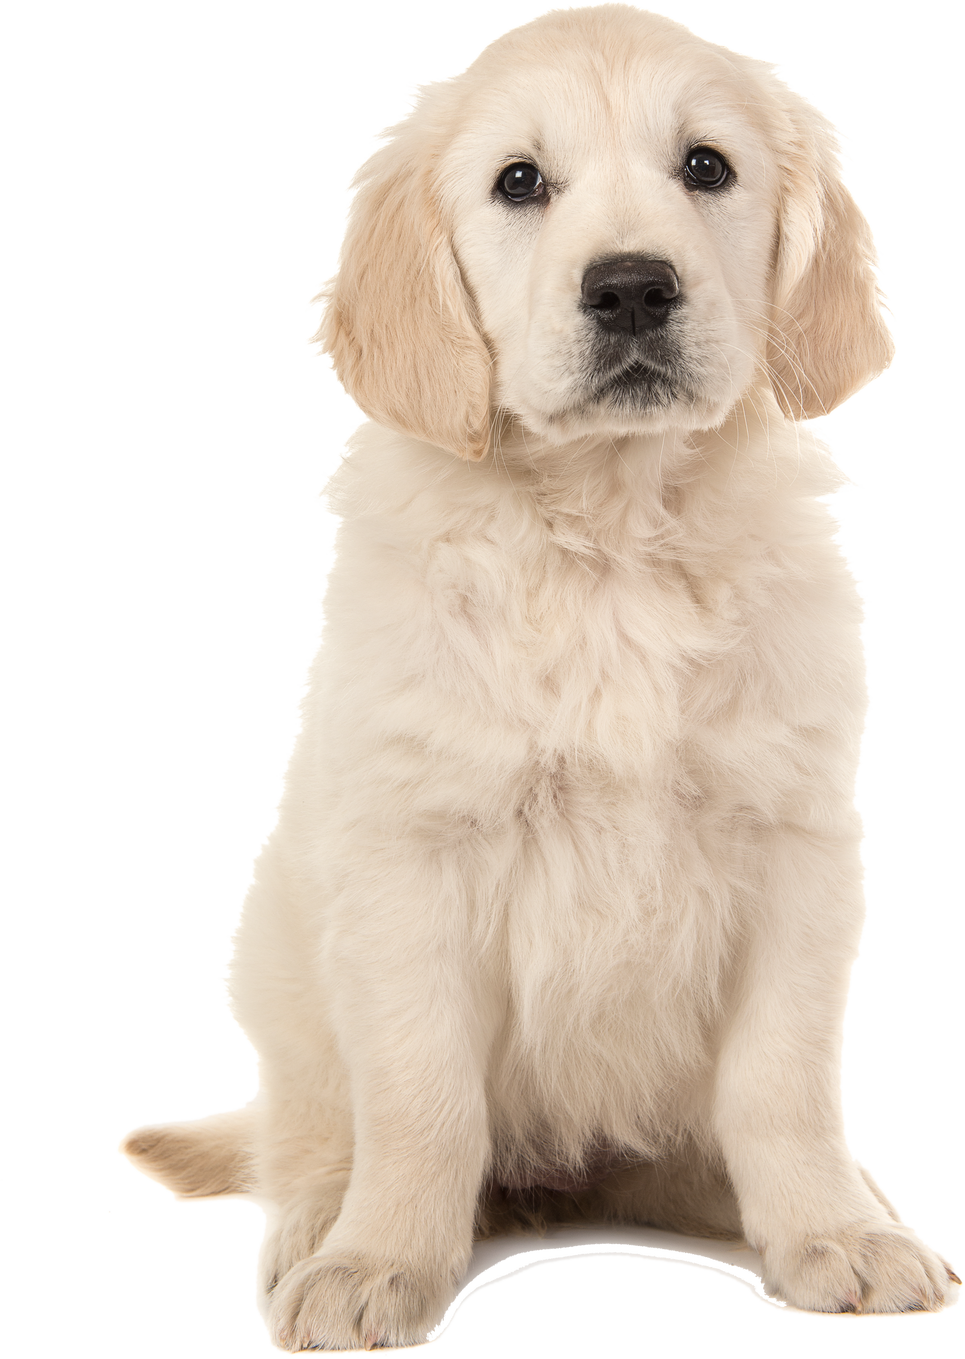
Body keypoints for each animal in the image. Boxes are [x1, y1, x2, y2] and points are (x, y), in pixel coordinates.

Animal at [118, 2, 962, 1348]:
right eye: (518, 183)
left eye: (705, 167)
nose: (629, 287)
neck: (608, 533)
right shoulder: (411, 858)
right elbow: (420, 1095)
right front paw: (380, 1261)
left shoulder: (792, 845)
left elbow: (780, 1077)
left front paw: (829, 1228)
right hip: (275, 968)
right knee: (307, 1134)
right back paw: (316, 1230)